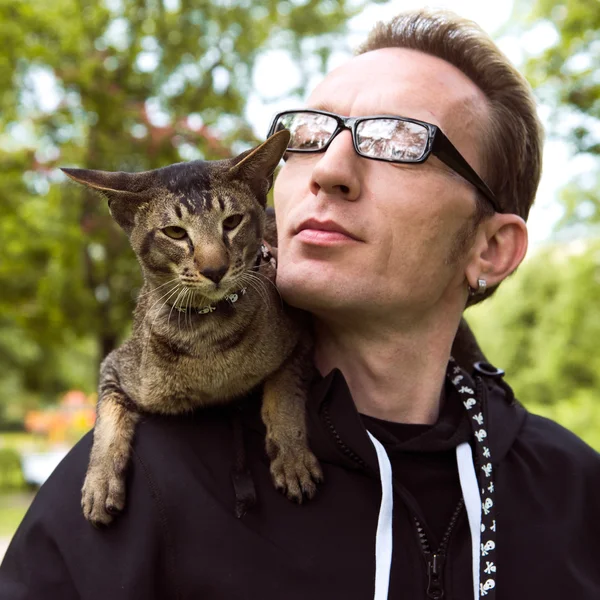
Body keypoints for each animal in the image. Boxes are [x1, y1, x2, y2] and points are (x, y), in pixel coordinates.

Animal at [62, 131, 322, 524]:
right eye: (174, 232)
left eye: (231, 222)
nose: (214, 269)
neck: (209, 338)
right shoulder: (115, 367)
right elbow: (107, 422)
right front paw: (100, 482)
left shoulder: (301, 334)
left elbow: (284, 394)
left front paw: (292, 458)